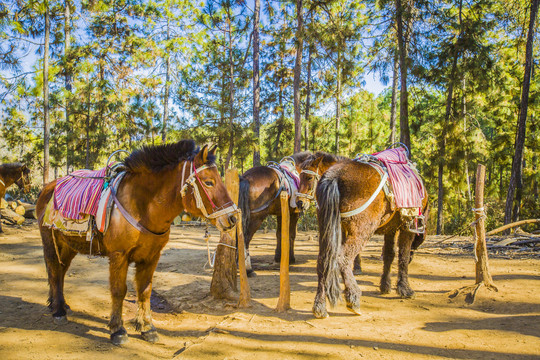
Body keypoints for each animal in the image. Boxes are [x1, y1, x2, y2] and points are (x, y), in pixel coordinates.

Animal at [34, 140, 235, 344]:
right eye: (209, 182)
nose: (233, 218)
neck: (141, 207)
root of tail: (47, 187)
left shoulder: (151, 256)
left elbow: (145, 290)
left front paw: (147, 327)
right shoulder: (118, 255)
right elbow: (118, 290)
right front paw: (117, 329)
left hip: (69, 245)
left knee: (61, 270)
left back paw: (58, 304)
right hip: (50, 242)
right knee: (53, 270)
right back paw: (58, 310)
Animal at [302, 148, 428, 318]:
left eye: (308, 177)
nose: (299, 203)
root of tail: (334, 176)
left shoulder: (390, 228)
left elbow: (389, 255)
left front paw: (385, 285)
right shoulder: (406, 227)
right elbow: (403, 256)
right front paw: (405, 289)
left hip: (327, 228)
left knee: (324, 261)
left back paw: (319, 306)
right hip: (361, 231)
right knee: (342, 259)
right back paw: (353, 298)